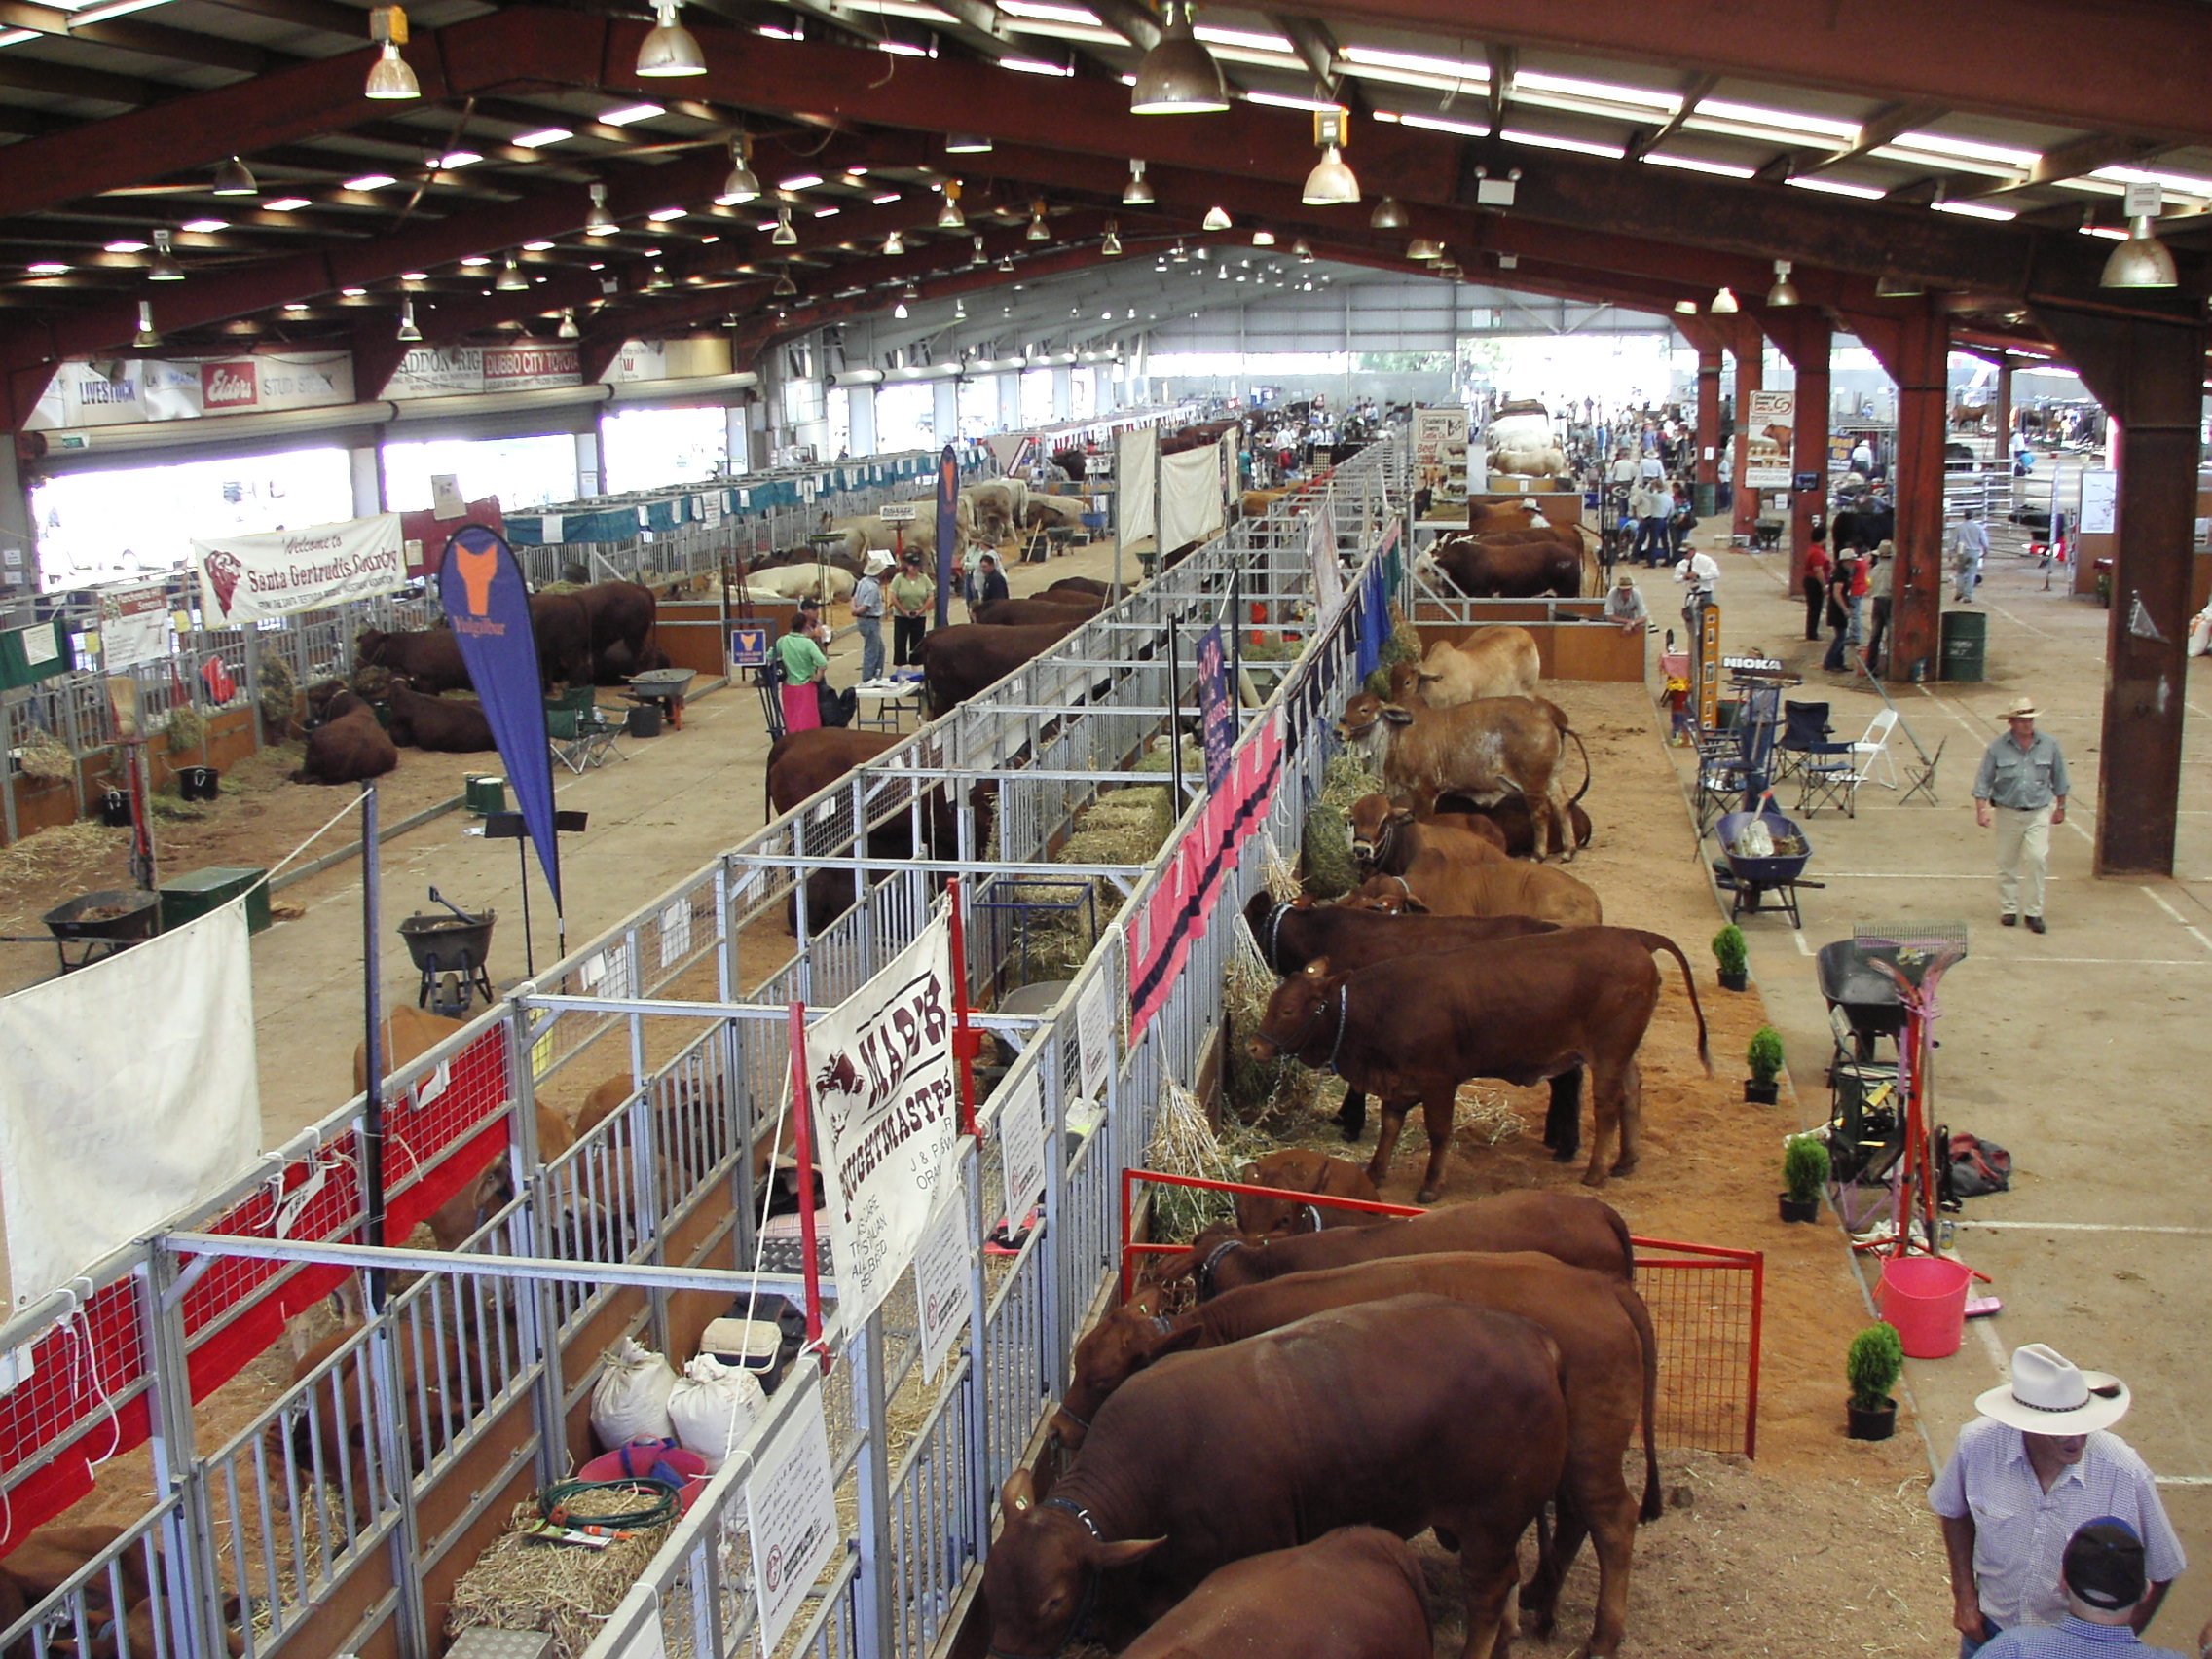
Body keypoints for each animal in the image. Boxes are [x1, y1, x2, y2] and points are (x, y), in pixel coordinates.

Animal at [1247, 938, 1707, 1194]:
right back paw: (1625, 1161)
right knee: (1633, 1089)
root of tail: (1636, 944)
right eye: (1272, 1002)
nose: (1254, 1046)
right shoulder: (1399, 1081)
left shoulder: (1439, 1082)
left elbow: (1438, 1132)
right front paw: (1376, 1171)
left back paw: (1596, 1172)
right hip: (1623, 1054)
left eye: (1287, 1010)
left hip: (1607, 1054)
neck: (1382, 1006)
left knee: (1608, 1105)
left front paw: (1431, 1186)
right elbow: (1391, 1125)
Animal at [1336, 689, 1583, 863]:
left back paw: (1538, 854)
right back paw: (1569, 851)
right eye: (1346, 707)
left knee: (1541, 813)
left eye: (1364, 709)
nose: (1338, 731)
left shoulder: (1424, 792)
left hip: (1532, 783)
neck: (1398, 736)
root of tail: (1548, 718)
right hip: (1551, 778)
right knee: (1562, 804)